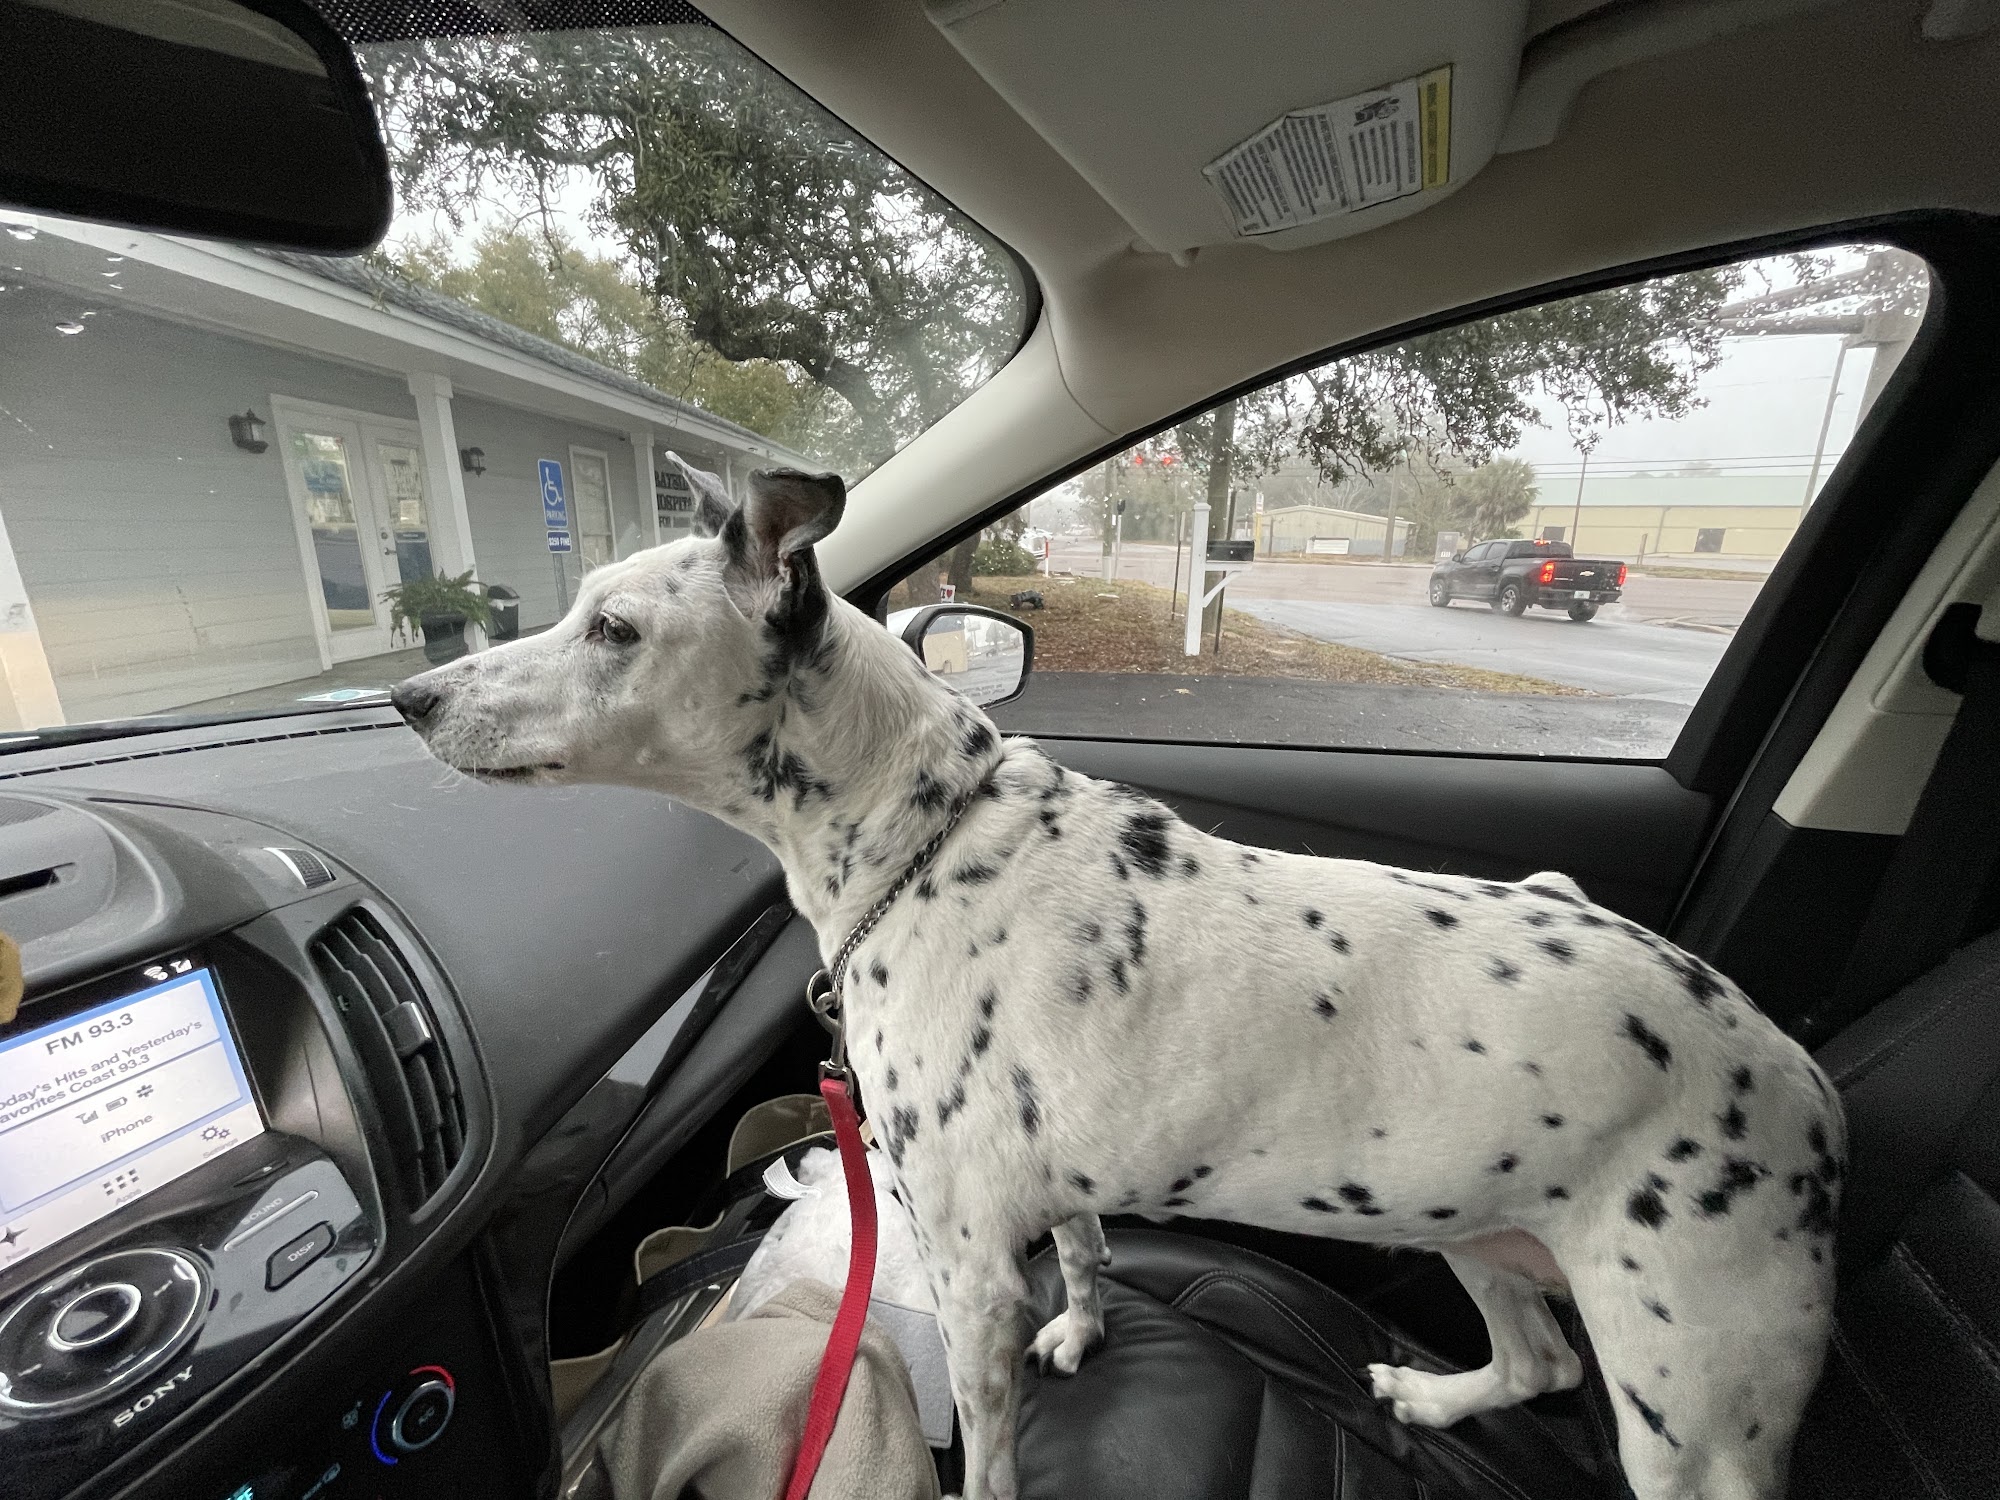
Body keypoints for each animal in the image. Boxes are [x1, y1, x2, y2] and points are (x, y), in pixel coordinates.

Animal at [394, 464, 1840, 1500]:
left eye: (612, 628)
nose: (408, 697)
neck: (926, 842)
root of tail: (1799, 1080)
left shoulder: (966, 1265)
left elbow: (989, 1457)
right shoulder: (1060, 1188)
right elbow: (1087, 1258)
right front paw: (1085, 1329)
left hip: (1687, 1411)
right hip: (1472, 1227)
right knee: (1536, 1360)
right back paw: (1431, 1397)